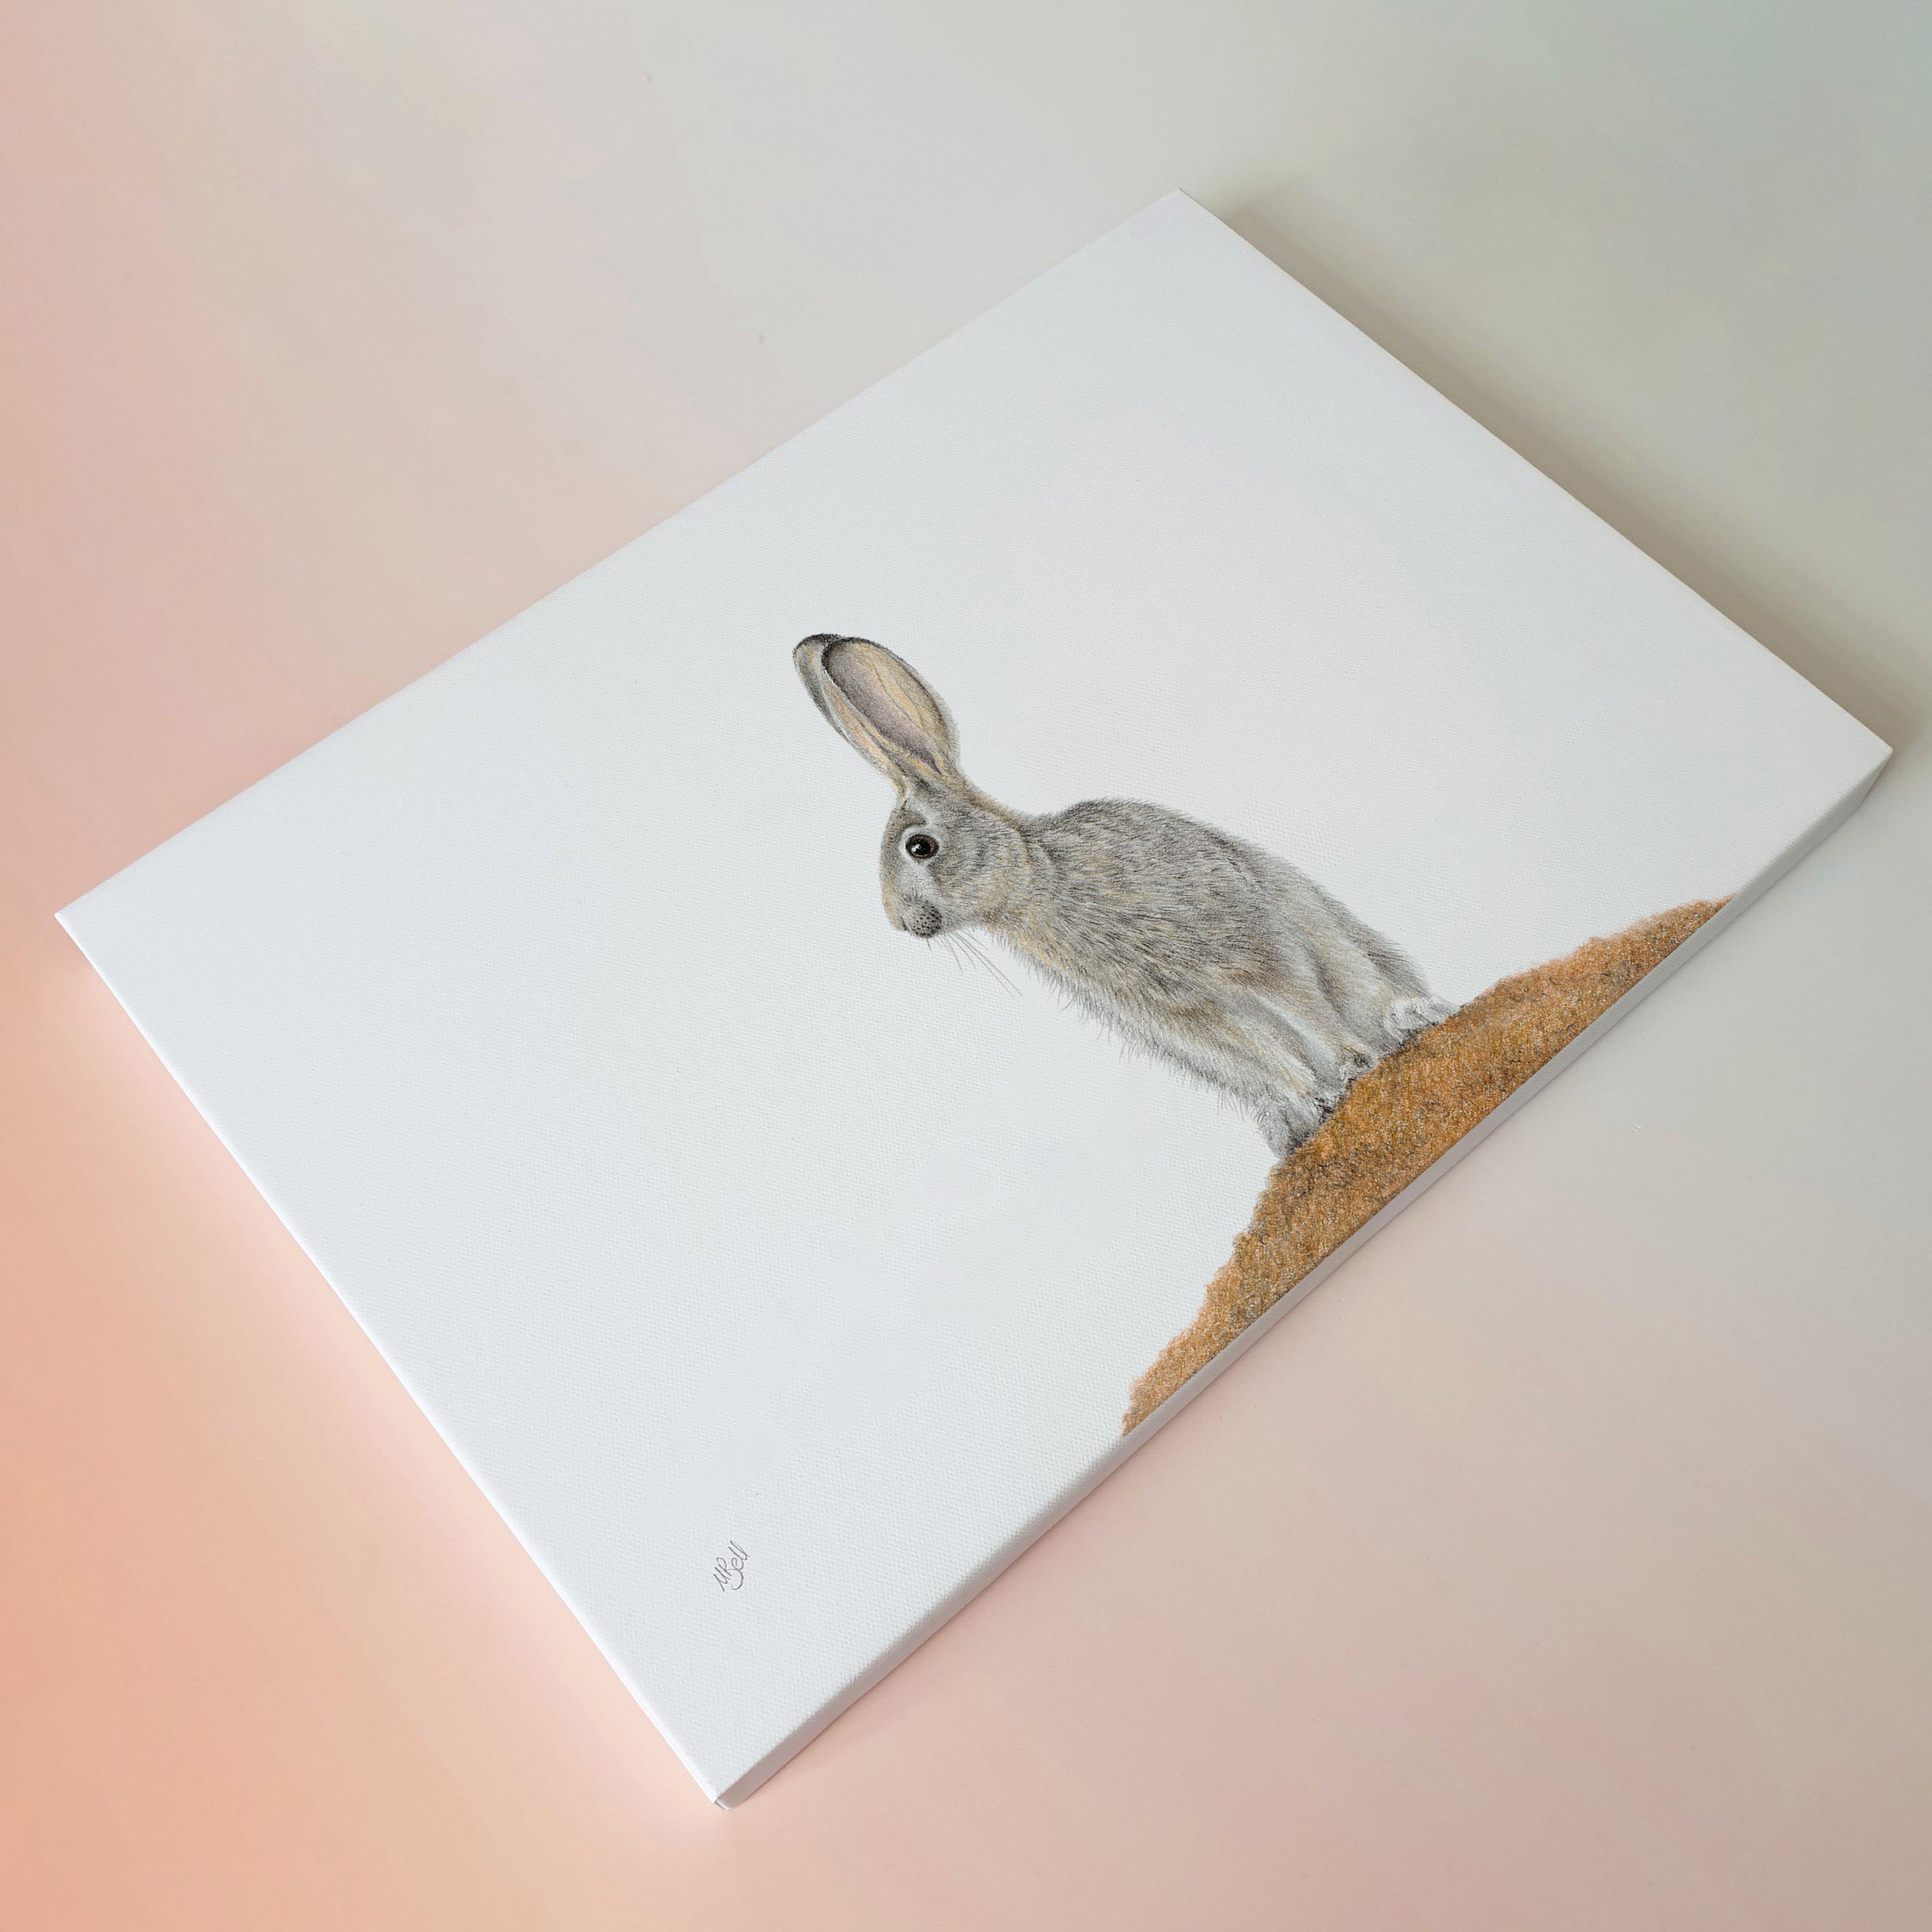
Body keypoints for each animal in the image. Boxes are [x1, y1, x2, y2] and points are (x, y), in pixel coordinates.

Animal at [794, 634, 1451, 1157]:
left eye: (921, 848)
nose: (902, 924)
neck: (1037, 880)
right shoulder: (1178, 1015)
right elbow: (1261, 1055)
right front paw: (1315, 1105)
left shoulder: (1249, 946)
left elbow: (1304, 1004)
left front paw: (1354, 1066)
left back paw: (1411, 1021)